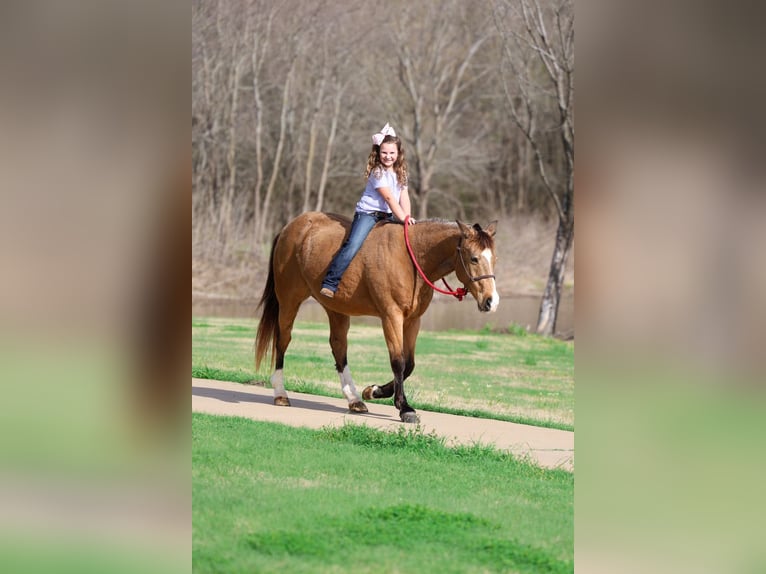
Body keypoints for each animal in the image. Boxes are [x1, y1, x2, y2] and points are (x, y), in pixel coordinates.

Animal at [255, 212, 499, 423]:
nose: (491, 301)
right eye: (474, 258)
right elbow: (398, 362)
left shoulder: (413, 320)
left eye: (494, 259)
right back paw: (280, 393)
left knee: (338, 347)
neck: (412, 259)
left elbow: (409, 364)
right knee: (283, 340)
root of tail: (291, 226)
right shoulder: (391, 316)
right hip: (289, 300)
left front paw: (373, 391)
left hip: (336, 308)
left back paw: (354, 399)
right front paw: (404, 407)